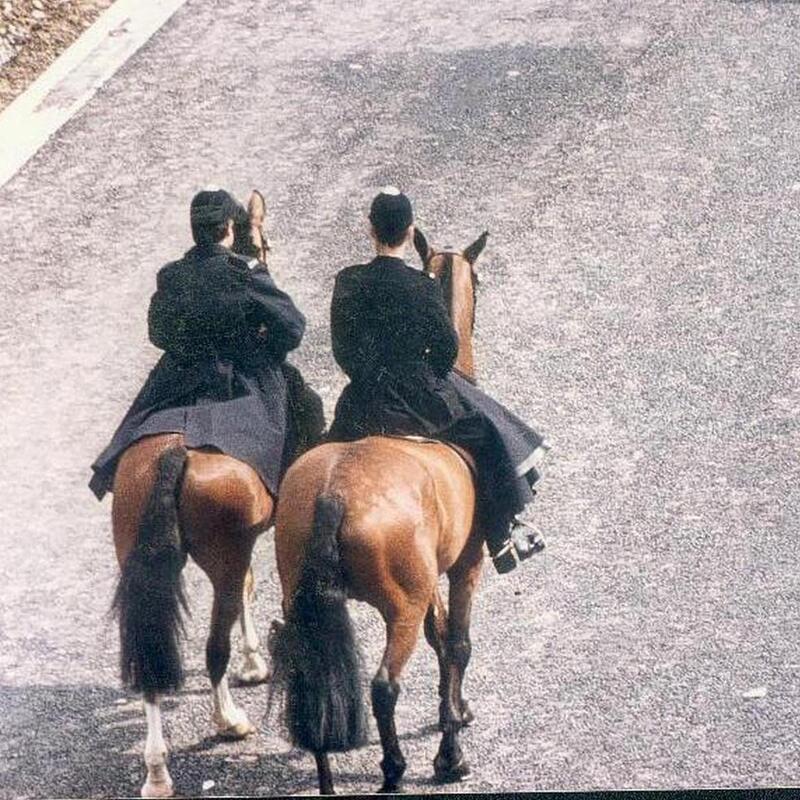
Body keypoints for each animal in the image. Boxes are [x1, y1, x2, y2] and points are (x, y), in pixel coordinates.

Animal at [110, 191, 276, 796]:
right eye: (261, 241)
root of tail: (173, 455)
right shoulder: (248, 540)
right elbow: (249, 589)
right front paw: (255, 662)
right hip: (220, 556)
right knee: (211, 649)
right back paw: (228, 720)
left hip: (138, 558)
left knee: (150, 666)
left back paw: (157, 771)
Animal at [270, 228, 488, 796]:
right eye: (480, 280)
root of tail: (333, 493)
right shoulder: (466, 562)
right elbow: (457, 642)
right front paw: (450, 750)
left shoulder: (431, 575)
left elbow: (442, 639)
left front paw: (453, 712)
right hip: (400, 609)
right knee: (384, 686)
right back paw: (394, 771)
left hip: (305, 597)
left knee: (314, 677)